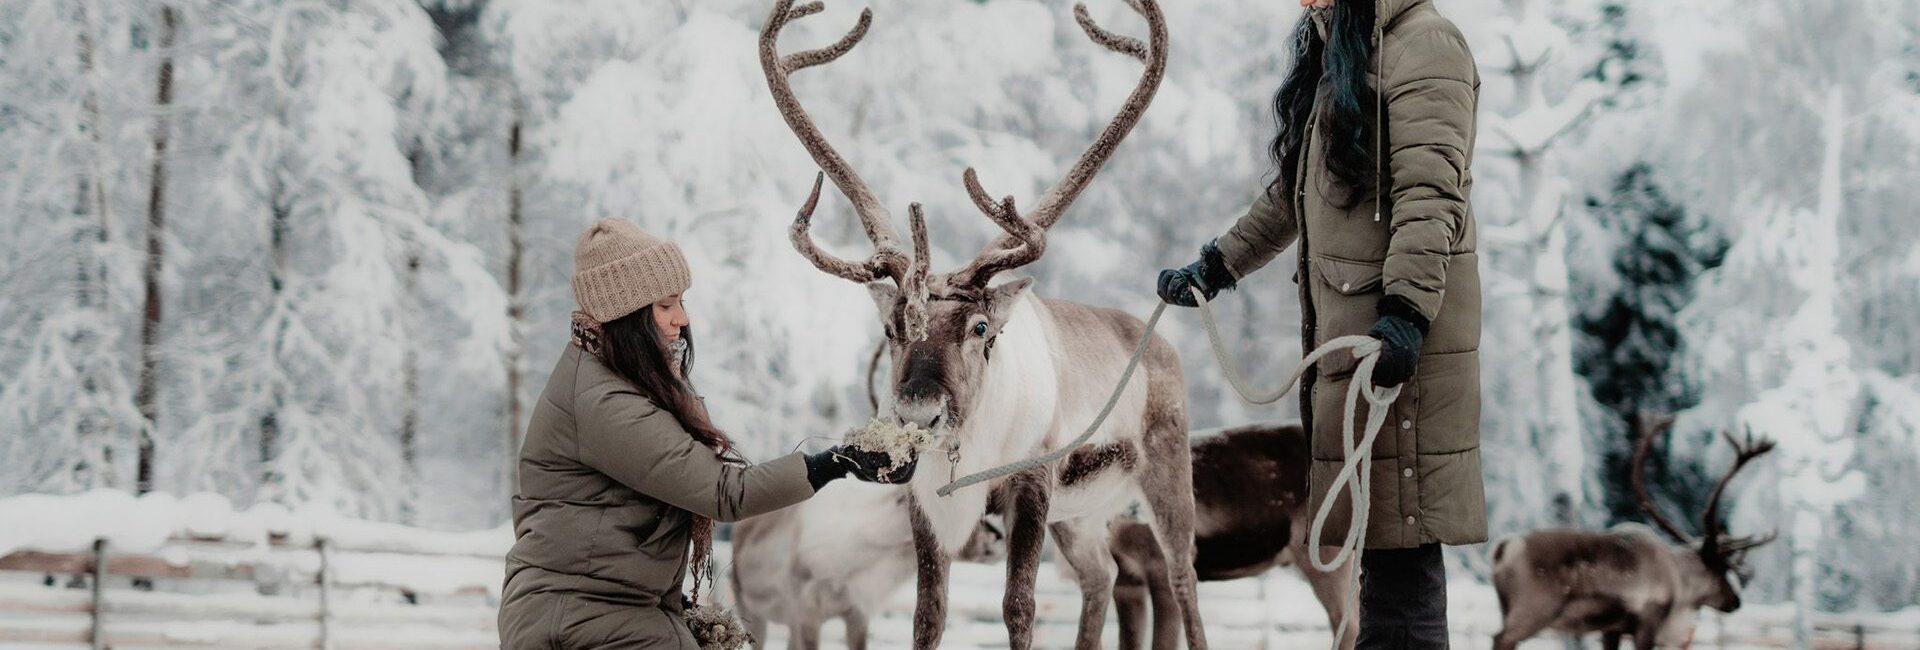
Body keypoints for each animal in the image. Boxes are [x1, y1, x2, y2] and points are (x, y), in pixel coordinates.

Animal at [758, 1, 1204, 649]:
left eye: (978, 329)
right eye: (890, 329)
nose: (918, 413)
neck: (969, 450)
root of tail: (1160, 343)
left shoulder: (1034, 481)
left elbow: (1019, 605)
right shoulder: (926, 498)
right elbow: (928, 612)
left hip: (1167, 472)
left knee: (1181, 576)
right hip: (1083, 515)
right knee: (1102, 574)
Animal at [1489, 412, 1777, 650]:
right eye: (1722, 568)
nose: (1735, 601)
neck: (1678, 580)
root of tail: (1504, 548)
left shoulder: (1611, 629)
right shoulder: (1647, 622)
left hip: (1506, 608)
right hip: (1533, 610)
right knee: (1501, 638)